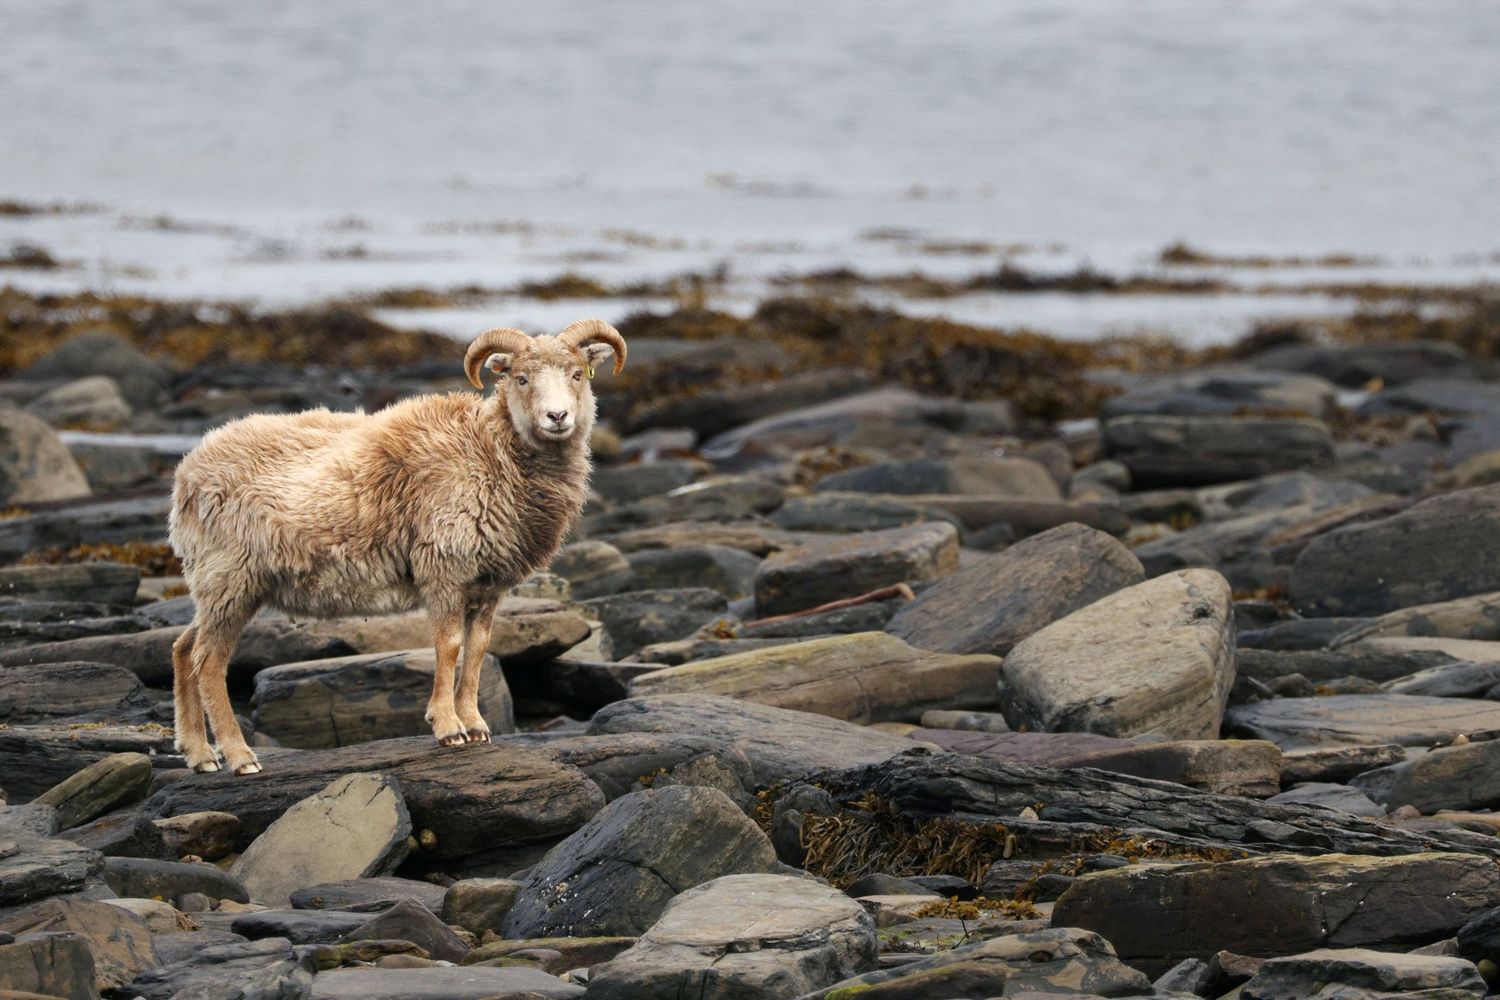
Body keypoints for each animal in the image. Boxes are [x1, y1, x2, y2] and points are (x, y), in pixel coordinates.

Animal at [168, 319, 627, 775]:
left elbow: (478, 649)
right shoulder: (443, 568)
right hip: (232, 576)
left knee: (184, 647)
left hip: (221, 584)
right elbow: (449, 646)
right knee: (208, 661)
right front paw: (448, 728)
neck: (489, 452)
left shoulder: (488, 584)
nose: (557, 416)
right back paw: (239, 756)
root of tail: (188, 471)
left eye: (578, 374)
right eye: (521, 378)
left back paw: (199, 754)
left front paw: (476, 725)